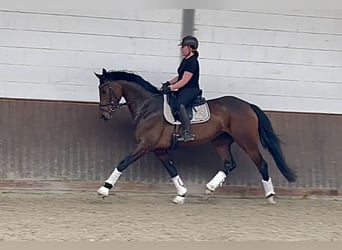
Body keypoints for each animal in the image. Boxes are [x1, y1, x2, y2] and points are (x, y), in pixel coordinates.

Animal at [94, 67, 296, 204]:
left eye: (103, 90)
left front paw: (104, 189)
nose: (103, 115)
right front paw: (181, 194)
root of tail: (248, 105)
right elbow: (172, 170)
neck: (148, 106)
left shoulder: (145, 144)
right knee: (229, 164)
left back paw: (270, 196)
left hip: (247, 140)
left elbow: (123, 163)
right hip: (220, 141)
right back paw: (210, 188)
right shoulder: (159, 149)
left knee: (261, 164)